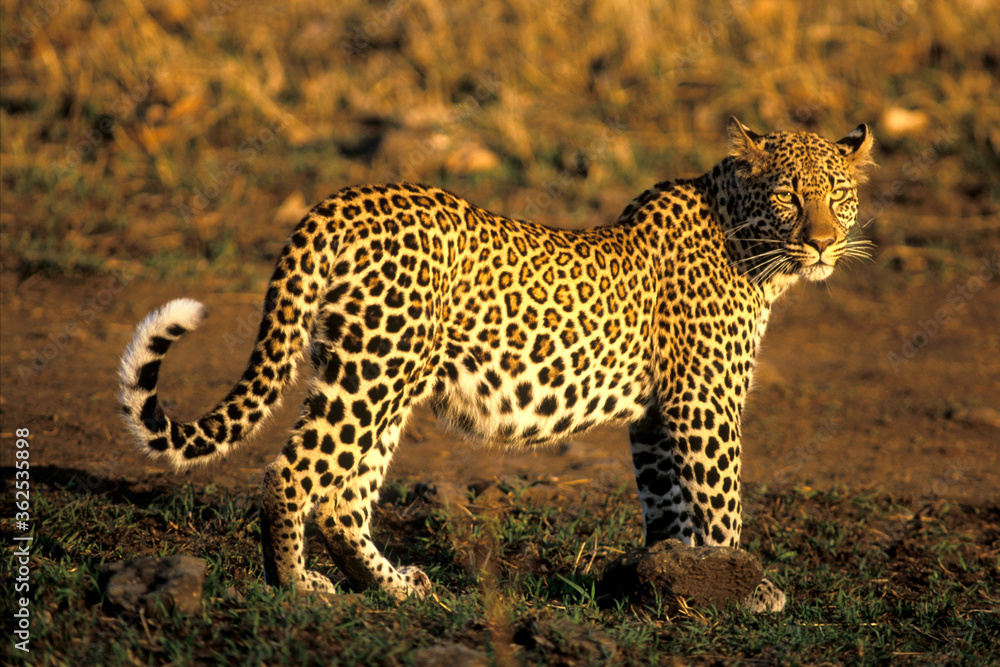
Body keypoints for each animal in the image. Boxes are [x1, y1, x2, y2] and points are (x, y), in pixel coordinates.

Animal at [119, 117, 874, 613]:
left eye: (838, 193)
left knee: (342, 494)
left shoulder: (657, 417)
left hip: (375, 372)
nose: (823, 242)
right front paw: (745, 584)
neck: (749, 246)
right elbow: (720, 502)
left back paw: (393, 586)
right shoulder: (703, 403)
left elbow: (665, 503)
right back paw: (297, 588)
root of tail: (341, 201)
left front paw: (670, 576)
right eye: (788, 195)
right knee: (296, 472)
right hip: (376, 370)